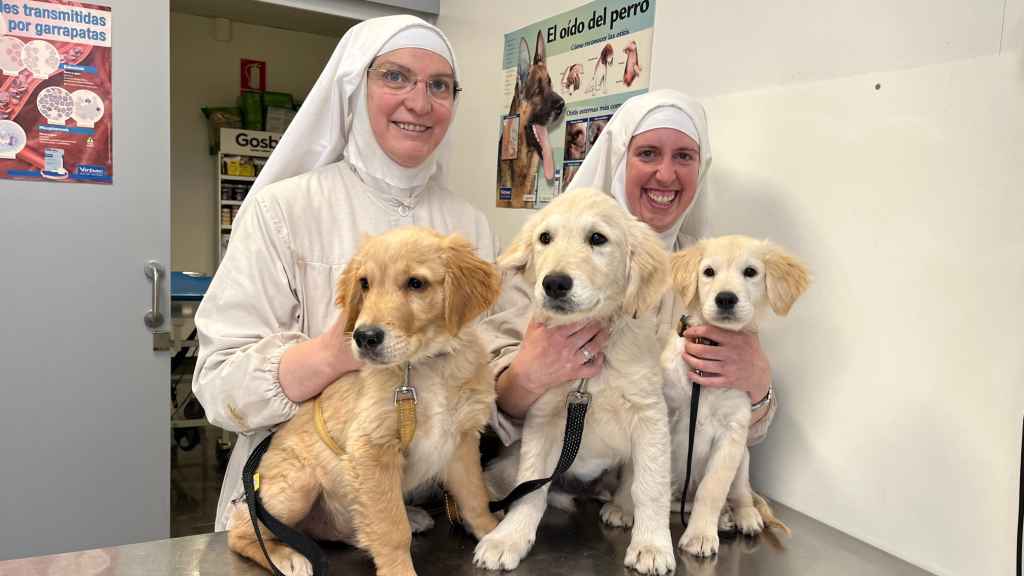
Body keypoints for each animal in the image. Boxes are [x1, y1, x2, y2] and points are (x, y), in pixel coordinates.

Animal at [231, 225, 503, 573]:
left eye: (416, 283)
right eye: (365, 283)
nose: (364, 337)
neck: (422, 367)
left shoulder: (461, 441)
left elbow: (474, 496)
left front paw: (494, 534)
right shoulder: (372, 450)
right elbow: (390, 528)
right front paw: (399, 570)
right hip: (298, 483)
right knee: (243, 529)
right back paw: (287, 558)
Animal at [473, 186, 679, 569]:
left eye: (597, 238)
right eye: (545, 238)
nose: (553, 283)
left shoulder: (649, 416)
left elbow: (650, 486)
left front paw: (652, 544)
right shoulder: (543, 417)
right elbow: (531, 487)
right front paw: (510, 537)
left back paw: (621, 507)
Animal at [659, 234, 811, 557]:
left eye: (750, 272)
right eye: (708, 272)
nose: (726, 298)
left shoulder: (732, 435)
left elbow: (712, 489)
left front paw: (700, 535)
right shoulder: (664, 412)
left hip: (743, 459)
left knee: (737, 495)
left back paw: (741, 517)